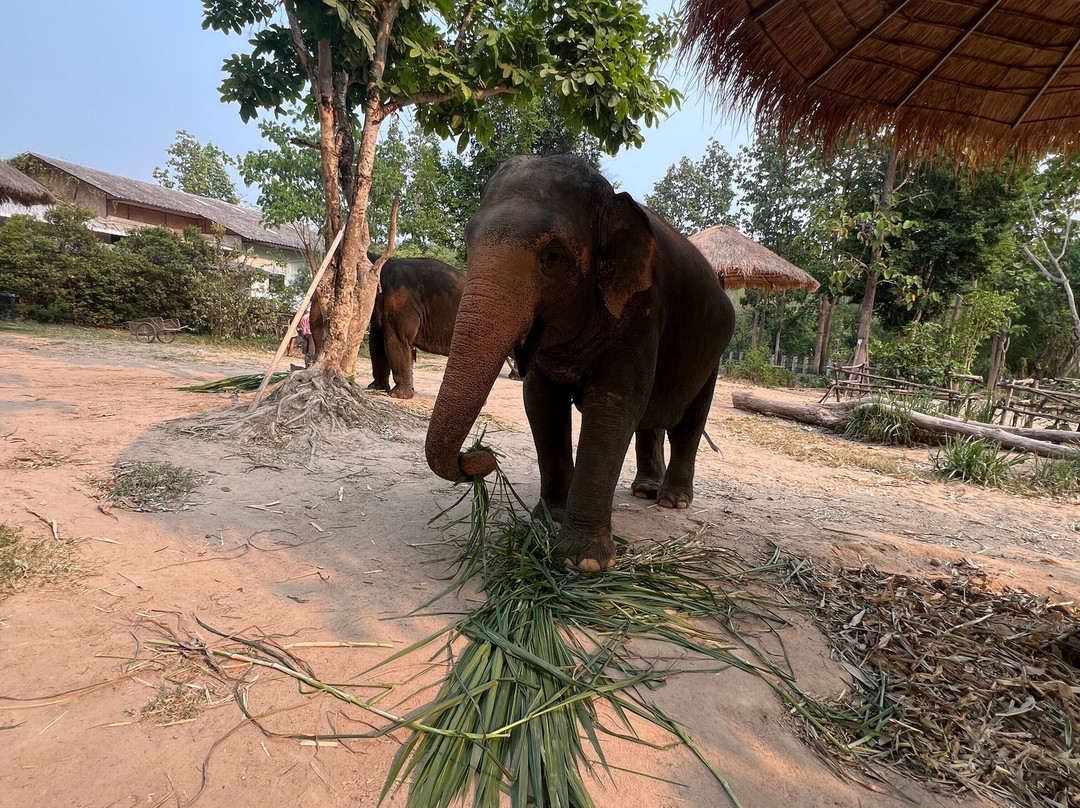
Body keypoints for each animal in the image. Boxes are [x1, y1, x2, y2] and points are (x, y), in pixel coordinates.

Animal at [425, 154, 735, 571]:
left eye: (553, 257)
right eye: (467, 242)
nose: (481, 456)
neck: (611, 201)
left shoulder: (642, 311)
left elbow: (612, 405)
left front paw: (583, 561)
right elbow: (541, 401)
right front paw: (548, 520)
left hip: (713, 357)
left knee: (688, 423)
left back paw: (673, 501)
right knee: (650, 421)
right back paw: (645, 491)